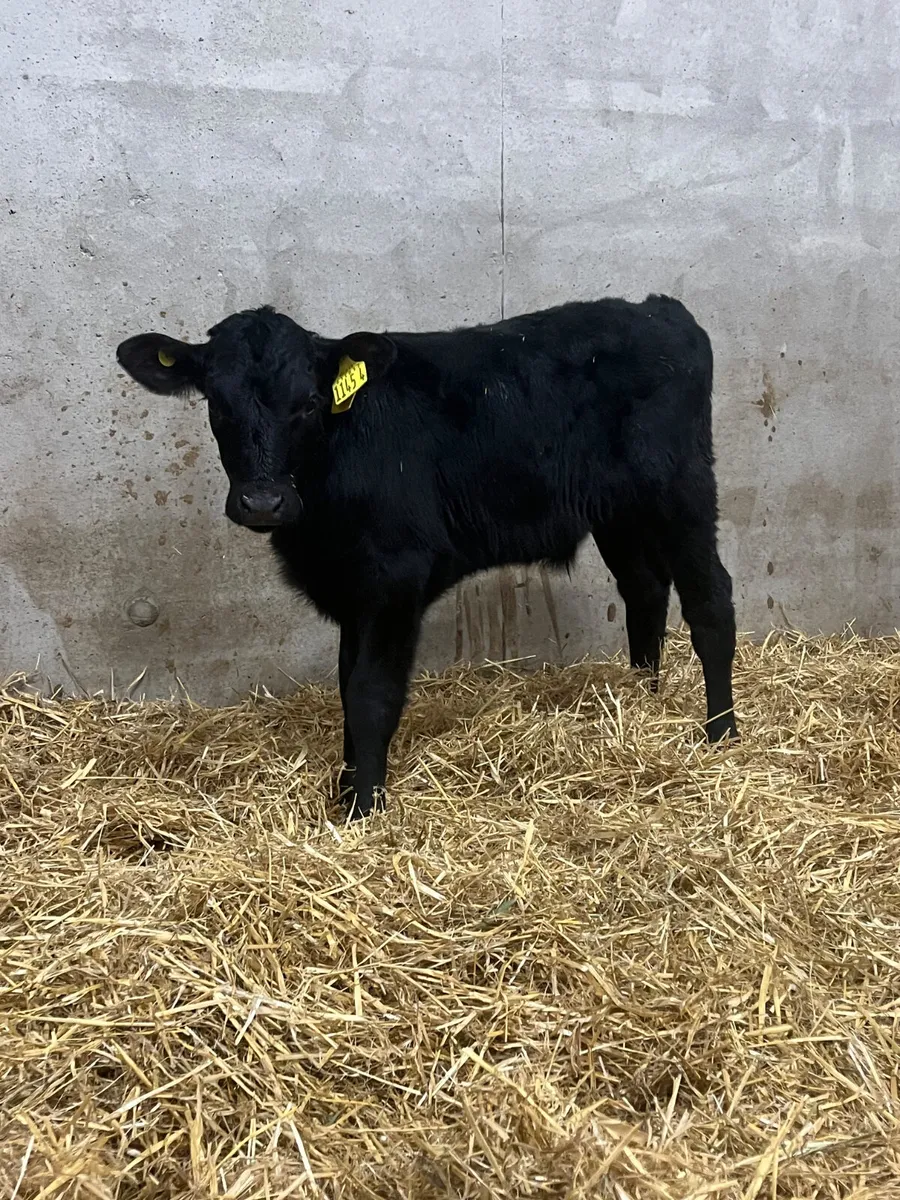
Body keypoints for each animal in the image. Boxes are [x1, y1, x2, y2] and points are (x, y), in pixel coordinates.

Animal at [117, 295, 738, 819]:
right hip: (620, 513)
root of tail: (659, 309)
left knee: (710, 601)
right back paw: (641, 701)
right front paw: (348, 786)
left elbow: (371, 693)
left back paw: (721, 734)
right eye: (217, 404)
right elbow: (347, 685)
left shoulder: (395, 578)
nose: (263, 501)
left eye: (310, 403)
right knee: (645, 590)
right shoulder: (353, 588)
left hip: (682, 490)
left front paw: (362, 809)